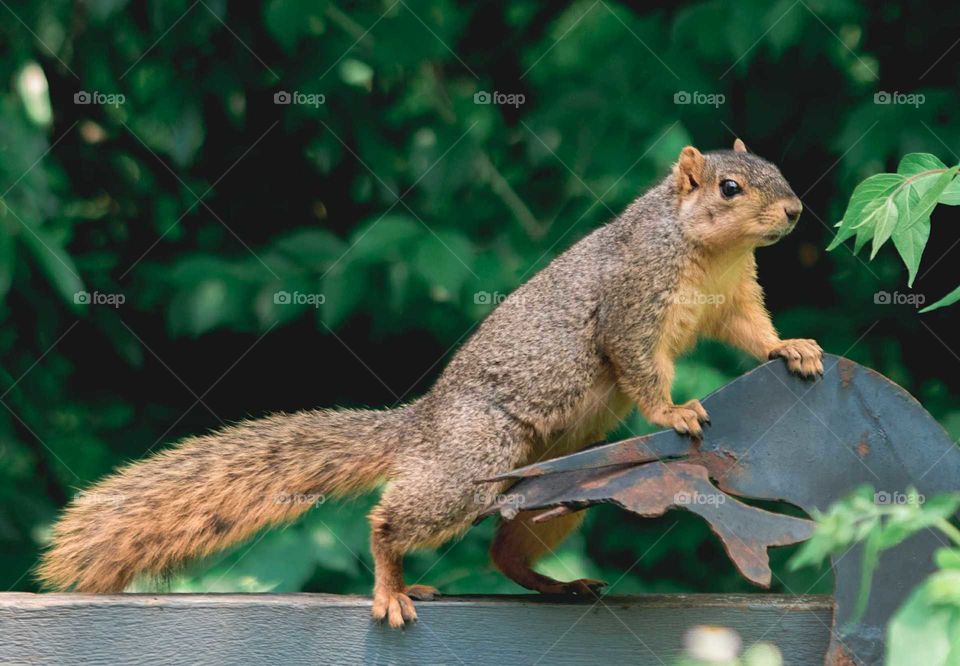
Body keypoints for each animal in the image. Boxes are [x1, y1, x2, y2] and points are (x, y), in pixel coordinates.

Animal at [38, 138, 823, 628]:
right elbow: (635, 363)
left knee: (504, 548)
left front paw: (794, 346)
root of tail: (425, 425)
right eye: (729, 187)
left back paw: (557, 585)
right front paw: (675, 409)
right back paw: (391, 585)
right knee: (391, 521)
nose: (794, 212)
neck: (707, 253)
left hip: (557, 487)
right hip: (477, 457)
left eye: (778, 170)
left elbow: (753, 331)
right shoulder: (632, 303)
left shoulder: (733, 298)